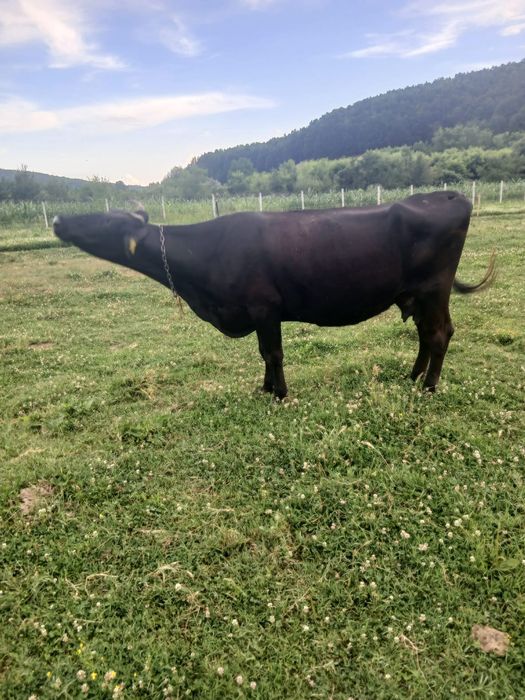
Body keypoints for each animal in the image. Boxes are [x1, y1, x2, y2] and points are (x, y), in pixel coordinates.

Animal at [53, 191, 494, 399]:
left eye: (107, 221)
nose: (57, 219)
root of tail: (449, 195)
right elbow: (264, 353)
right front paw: (266, 388)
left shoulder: (264, 307)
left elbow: (272, 353)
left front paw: (278, 393)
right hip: (415, 296)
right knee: (426, 334)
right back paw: (413, 374)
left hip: (434, 289)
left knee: (439, 334)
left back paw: (429, 385)